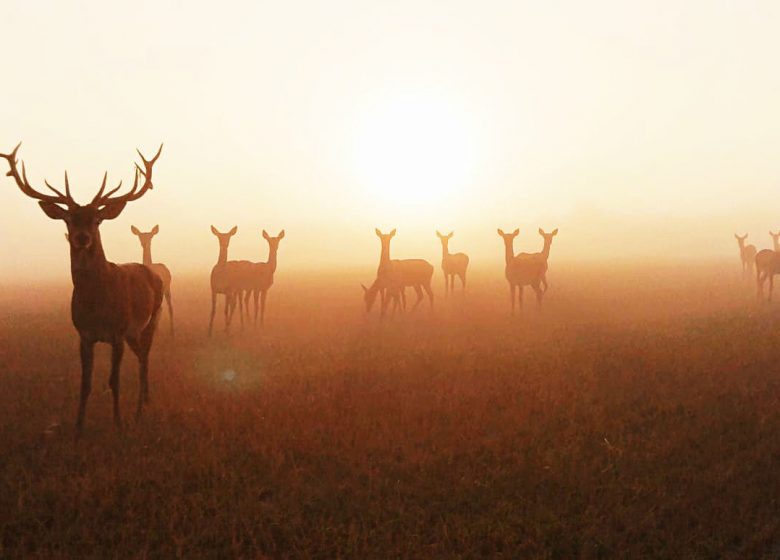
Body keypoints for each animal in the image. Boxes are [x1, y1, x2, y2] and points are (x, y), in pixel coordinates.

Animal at [1, 142, 164, 436]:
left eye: (97, 219)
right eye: (68, 219)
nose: (82, 238)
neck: (96, 303)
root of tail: (152, 273)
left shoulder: (118, 332)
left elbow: (114, 380)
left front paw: (118, 424)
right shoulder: (84, 334)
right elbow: (85, 383)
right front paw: (78, 428)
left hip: (151, 319)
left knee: (145, 358)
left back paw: (139, 410)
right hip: (134, 332)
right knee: (142, 358)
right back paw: (143, 404)